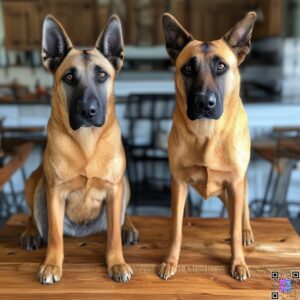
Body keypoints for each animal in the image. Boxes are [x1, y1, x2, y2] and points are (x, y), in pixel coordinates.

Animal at [19, 15, 138, 284]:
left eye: (102, 75)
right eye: (69, 78)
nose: (87, 111)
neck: (86, 142)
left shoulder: (114, 189)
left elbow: (113, 236)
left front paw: (117, 263)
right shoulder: (55, 192)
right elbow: (54, 236)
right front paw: (52, 264)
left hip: (124, 184)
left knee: (121, 218)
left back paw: (128, 227)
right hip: (34, 181)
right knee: (34, 216)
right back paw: (31, 232)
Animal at [159, 12, 255, 282]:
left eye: (221, 66)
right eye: (188, 68)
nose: (204, 102)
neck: (207, 132)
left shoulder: (235, 183)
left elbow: (235, 229)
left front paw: (238, 262)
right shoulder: (179, 183)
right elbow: (176, 229)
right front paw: (170, 261)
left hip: (238, 186)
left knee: (242, 211)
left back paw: (246, 231)